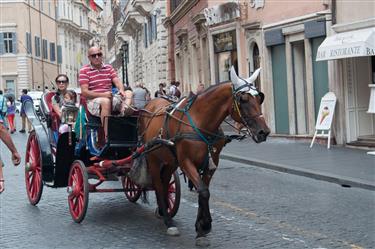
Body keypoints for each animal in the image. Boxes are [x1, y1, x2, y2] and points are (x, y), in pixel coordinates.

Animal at [138, 66, 270, 245]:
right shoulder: (186, 162)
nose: (264, 132)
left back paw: (163, 211)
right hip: (153, 158)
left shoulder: (211, 163)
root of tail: (149, 105)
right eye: (243, 100)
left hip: (170, 161)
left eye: (259, 98)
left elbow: (204, 192)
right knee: (158, 185)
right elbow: (203, 191)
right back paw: (169, 221)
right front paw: (205, 225)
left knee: (165, 182)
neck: (201, 121)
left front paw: (201, 228)